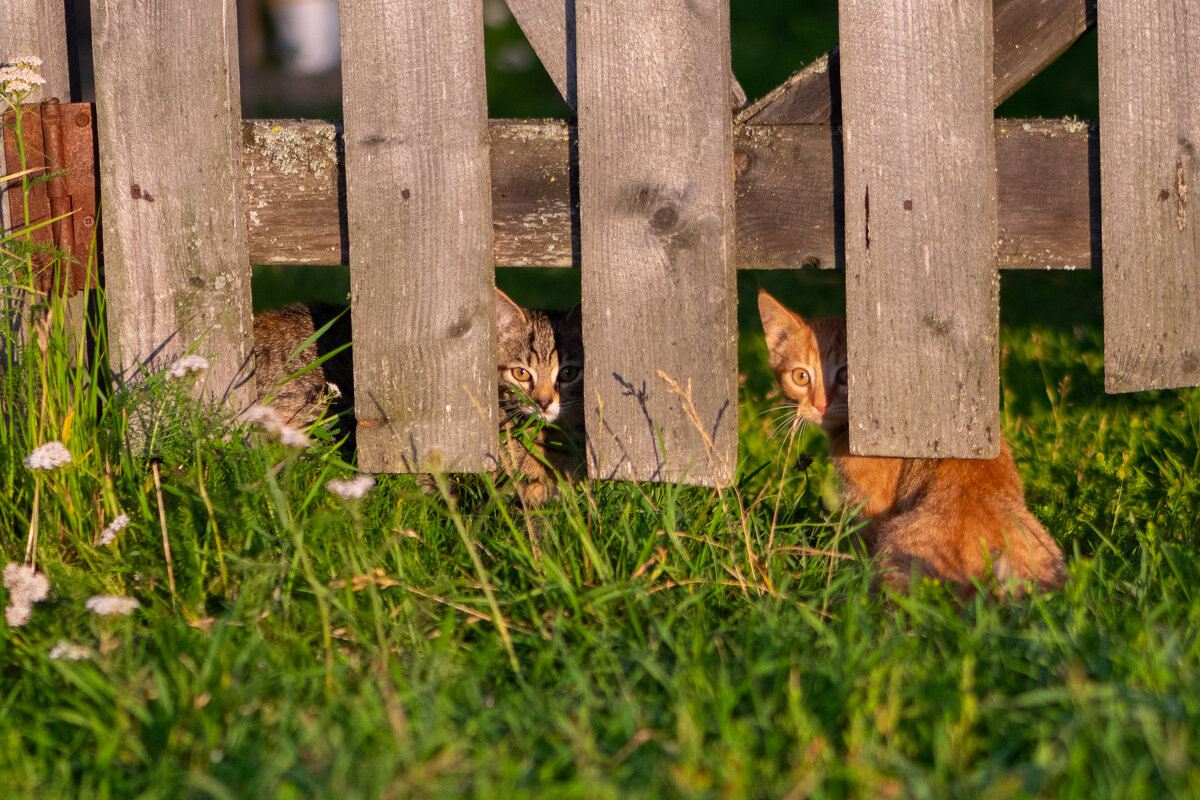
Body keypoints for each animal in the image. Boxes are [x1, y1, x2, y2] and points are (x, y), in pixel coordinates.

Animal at [753, 291, 1075, 597]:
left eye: (845, 375)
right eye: (800, 376)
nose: (820, 405)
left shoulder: (870, 504)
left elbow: (860, 548)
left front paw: (848, 579)